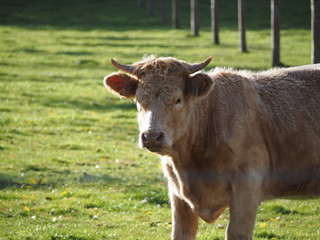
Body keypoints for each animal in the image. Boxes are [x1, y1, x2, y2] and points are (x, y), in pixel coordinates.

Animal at [103, 56, 320, 240]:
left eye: (178, 99)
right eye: (139, 100)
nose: (152, 136)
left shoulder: (247, 190)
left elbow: (236, 233)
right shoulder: (177, 194)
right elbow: (181, 233)